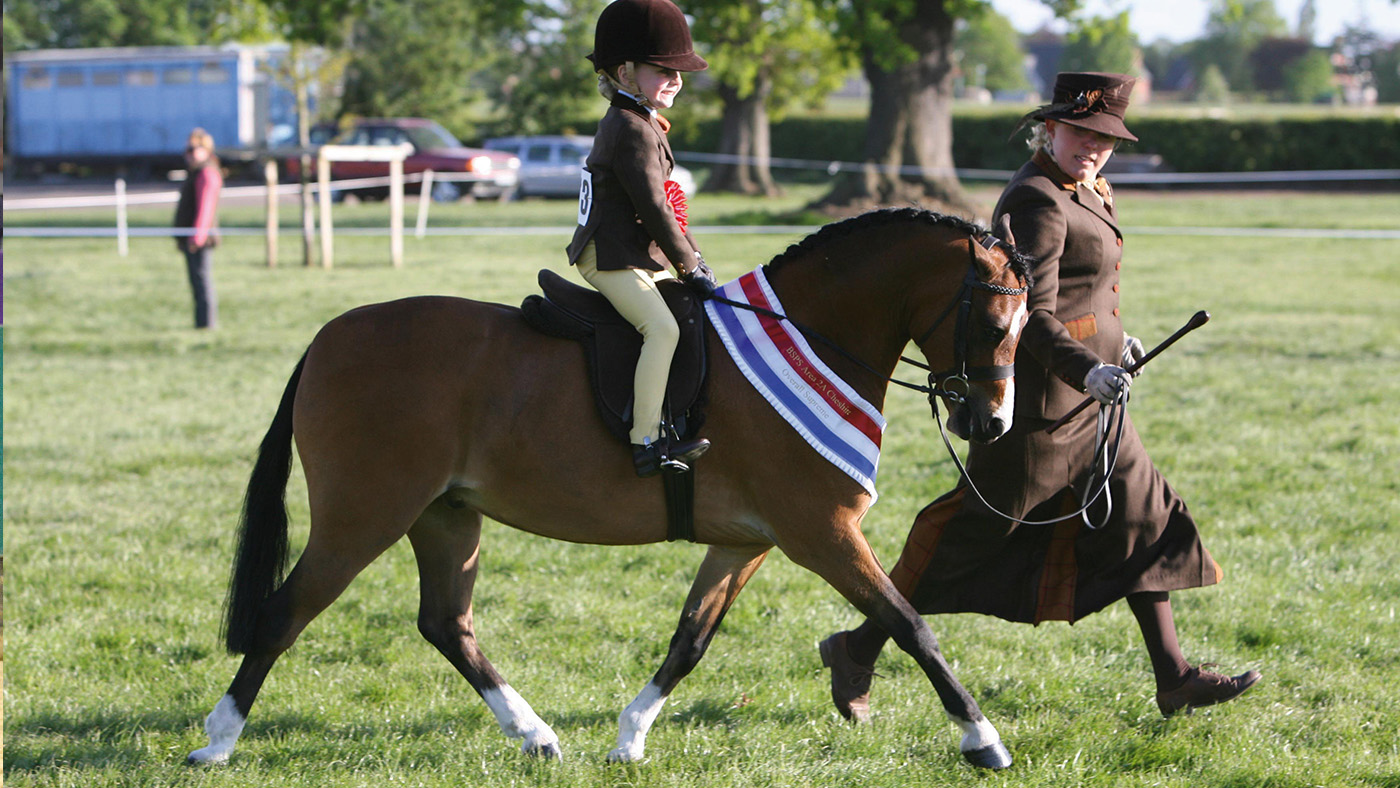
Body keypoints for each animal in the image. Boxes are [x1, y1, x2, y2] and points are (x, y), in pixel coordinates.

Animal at [187, 208, 1033, 769]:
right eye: (996, 327)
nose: (990, 422)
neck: (810, 333)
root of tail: (330, 337)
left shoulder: (746, 544)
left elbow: (691, 640)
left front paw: (630, 736)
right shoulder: (821, 533)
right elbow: (911, 623)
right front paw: (982, 739)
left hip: (445, 516)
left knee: (446, 625)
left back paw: (533, 733)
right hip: (363, 516)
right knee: (284, 614)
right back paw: (218, 741)